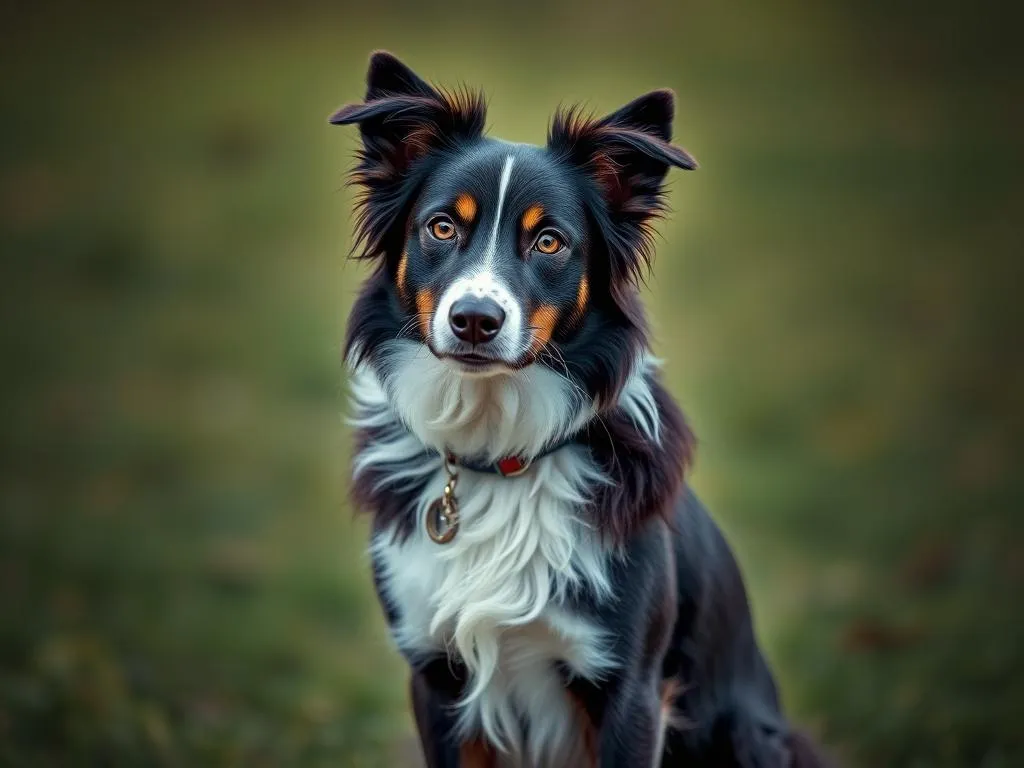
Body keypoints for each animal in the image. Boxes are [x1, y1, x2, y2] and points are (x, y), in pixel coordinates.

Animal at [331, 52, 827, 768]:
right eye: (442, 227)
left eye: (549, 242)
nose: (474, 320)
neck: (500, 449)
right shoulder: (436, 674)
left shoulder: (631, 689)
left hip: (745, 733)